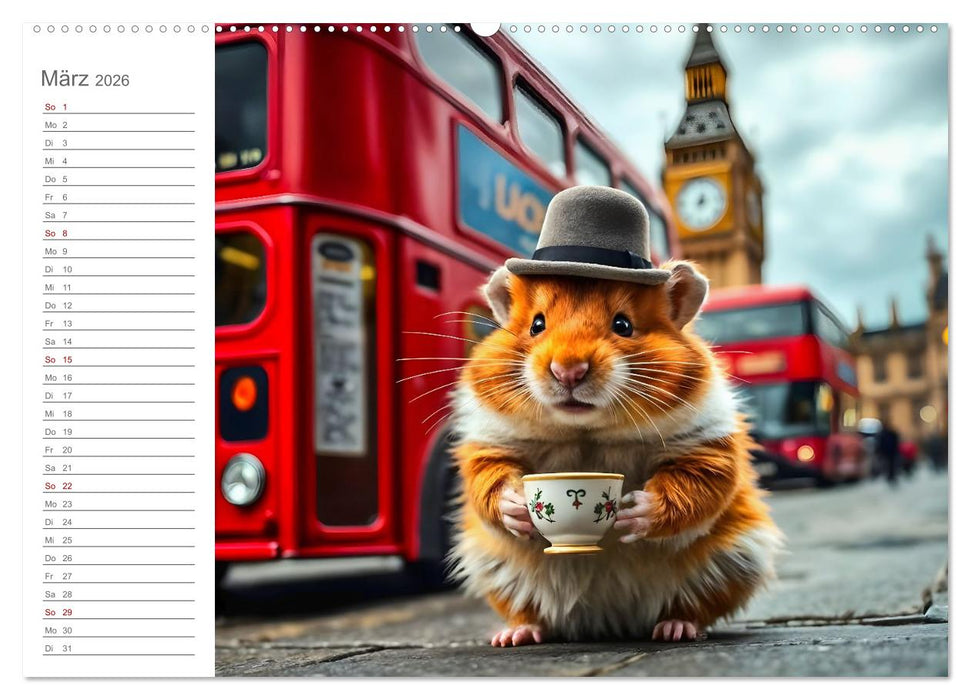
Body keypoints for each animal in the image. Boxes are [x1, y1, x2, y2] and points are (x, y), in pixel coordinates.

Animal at [446, 261, 783, 646]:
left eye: (623, 325)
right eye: (536, 325)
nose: (568, 371)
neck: (587, 431)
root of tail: (608, 621)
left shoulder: (707, 445)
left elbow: (695, 487)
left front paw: (634, 511)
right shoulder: (487, 443)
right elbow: (489, 483)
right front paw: (518, 506)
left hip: (736, 559)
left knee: (693, 606)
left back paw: (675, 628)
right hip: (493, 571)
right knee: (531, 613)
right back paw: (515, 635)